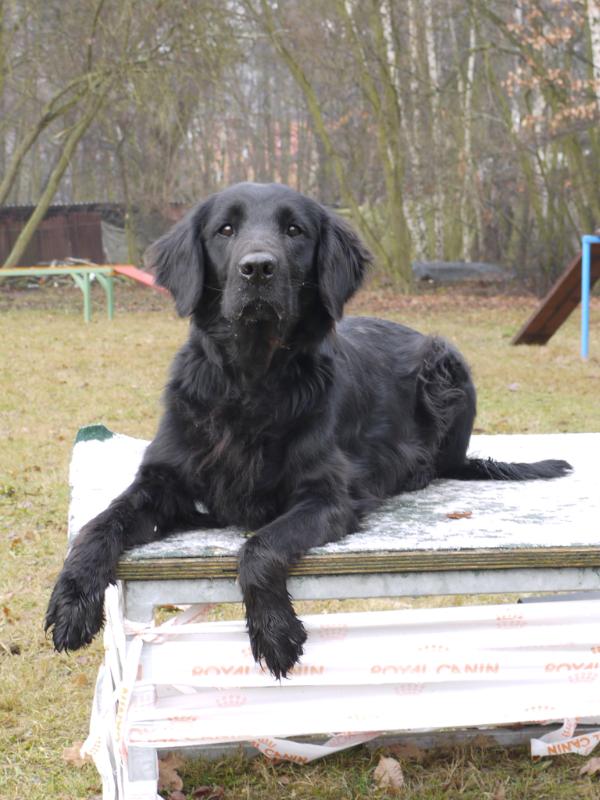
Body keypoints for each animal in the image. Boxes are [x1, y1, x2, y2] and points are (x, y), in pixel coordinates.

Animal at [47, 184, 572, 680]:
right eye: (225, 230)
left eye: (295, 230)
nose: (258, 269)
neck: (252, 382)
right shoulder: (163, 479)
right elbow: (98, 524)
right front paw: (72, 601)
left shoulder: (327, 496)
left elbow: (258, 548)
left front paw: (274, 630)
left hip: (447, 364)